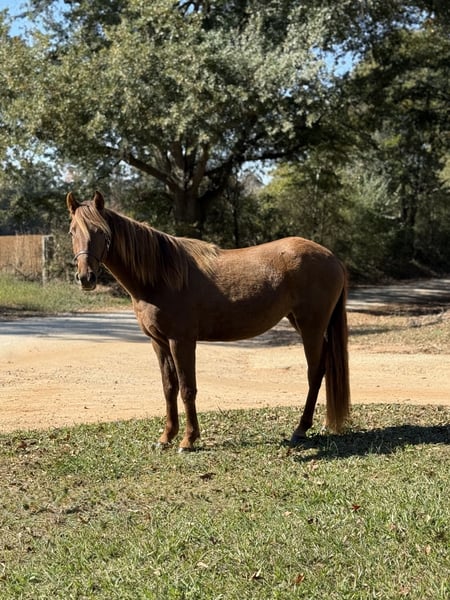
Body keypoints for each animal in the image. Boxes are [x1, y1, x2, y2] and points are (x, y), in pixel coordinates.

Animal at [67, 191, 350, 451]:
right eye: (72, 232)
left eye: (101, 231)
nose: (86, 278)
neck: (161, 278)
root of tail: (332, 258)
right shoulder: (159, 342)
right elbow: (169, 388)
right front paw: (166, 437)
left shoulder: (181, 341)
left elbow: (187, 389)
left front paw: (188, 440)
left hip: (311, 327)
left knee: (315, 372)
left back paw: (300, 429)